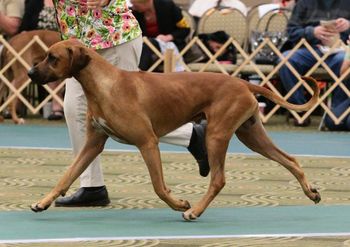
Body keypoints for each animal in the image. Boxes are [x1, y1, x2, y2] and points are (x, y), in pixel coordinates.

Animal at [28, 40, 320, 220]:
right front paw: (42, 202)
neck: (104, 84)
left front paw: (180, 203)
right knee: (290, 160)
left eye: (52, 58)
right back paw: (310, 191)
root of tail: (243, 83)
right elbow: (66, 176)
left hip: (217, 135)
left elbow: (158, 186)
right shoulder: (92, 145)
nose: (30, 73)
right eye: (46, 55)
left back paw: (195, 211)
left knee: (218, 179)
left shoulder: (148, 142)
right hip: (251, 135)